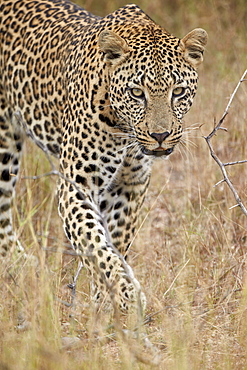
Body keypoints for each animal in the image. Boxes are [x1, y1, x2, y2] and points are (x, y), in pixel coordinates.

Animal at [0, 0, 207, 312]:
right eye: (137, 93)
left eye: (179, 91)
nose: (160, 135)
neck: (123, 129)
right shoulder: (76, 186)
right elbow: (94, 243)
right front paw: (126, 295)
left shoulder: (129, 186)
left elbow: (116, 242)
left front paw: (104, 302)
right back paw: (19, 267)